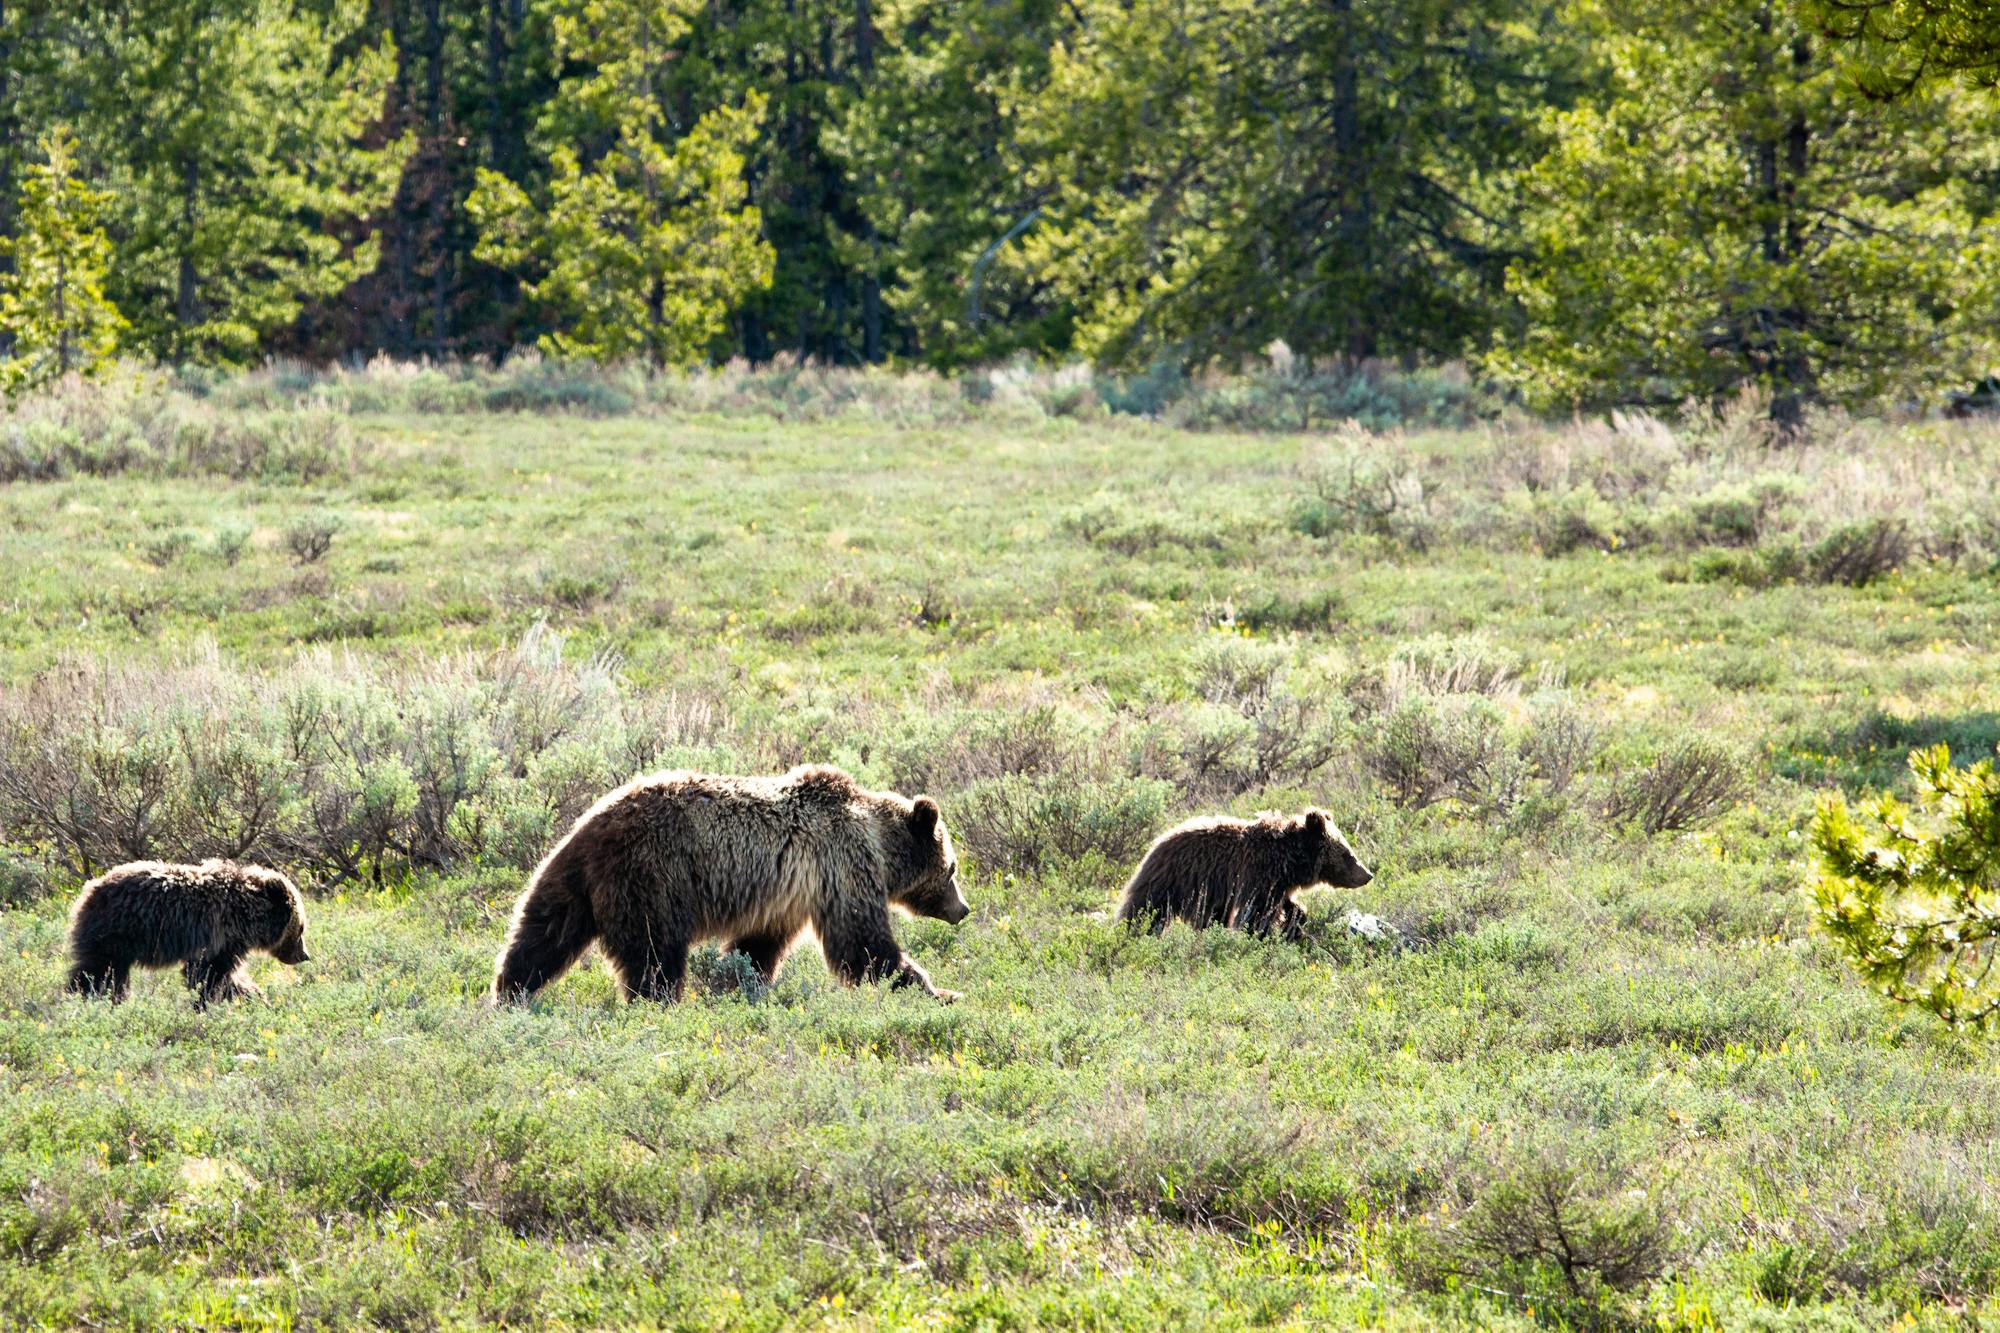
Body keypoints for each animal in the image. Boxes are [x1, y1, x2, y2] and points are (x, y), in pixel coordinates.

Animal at [66, 859, 311, 1006]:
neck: (244, 916)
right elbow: (210, 975)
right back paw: (85, 996)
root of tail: (91, 888)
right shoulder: (217, 937)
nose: (304, 955)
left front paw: (252, 995)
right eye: (301, 928)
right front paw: (230, 998)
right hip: (118, 931)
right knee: (100, 969)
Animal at [490, 764, 969, 1006]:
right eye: (952, 869)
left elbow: (757, 947)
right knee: (654, 953)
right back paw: (659, 1002)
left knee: (542, 933)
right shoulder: (841, 867)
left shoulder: (785, 896)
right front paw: (939, 990)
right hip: (651, 877)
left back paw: (509, 992)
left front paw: (741, 982)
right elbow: (864, 945)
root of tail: (589, 827)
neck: (878, 844)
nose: (963, 909)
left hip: (571, 879)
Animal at [1116, 808, 1372, 939]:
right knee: (1145, 909)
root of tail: (1157, 843)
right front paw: (1259, 935)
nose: (1367, 875)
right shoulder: (1257, 874)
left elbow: (1285, 905)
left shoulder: (1277, 884)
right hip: (1174, 880)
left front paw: (1296, 919)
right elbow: (1258, 913)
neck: (1289, 860)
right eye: (1347, 853)